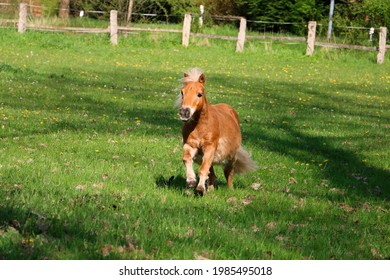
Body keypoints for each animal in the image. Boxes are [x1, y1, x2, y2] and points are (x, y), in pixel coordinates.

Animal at [177, 67, 256, 195]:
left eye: (199, 94)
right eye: (182, 92)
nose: (184, 112)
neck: (200, 127)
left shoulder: (210, 148)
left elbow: (203, 169)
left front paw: (199, 189)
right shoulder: (190, 145)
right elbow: (187, 159)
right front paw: (191, 181)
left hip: (231, 156)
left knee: (228, 172)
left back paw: (230, 189)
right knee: (212, 173)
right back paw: (210, 189)